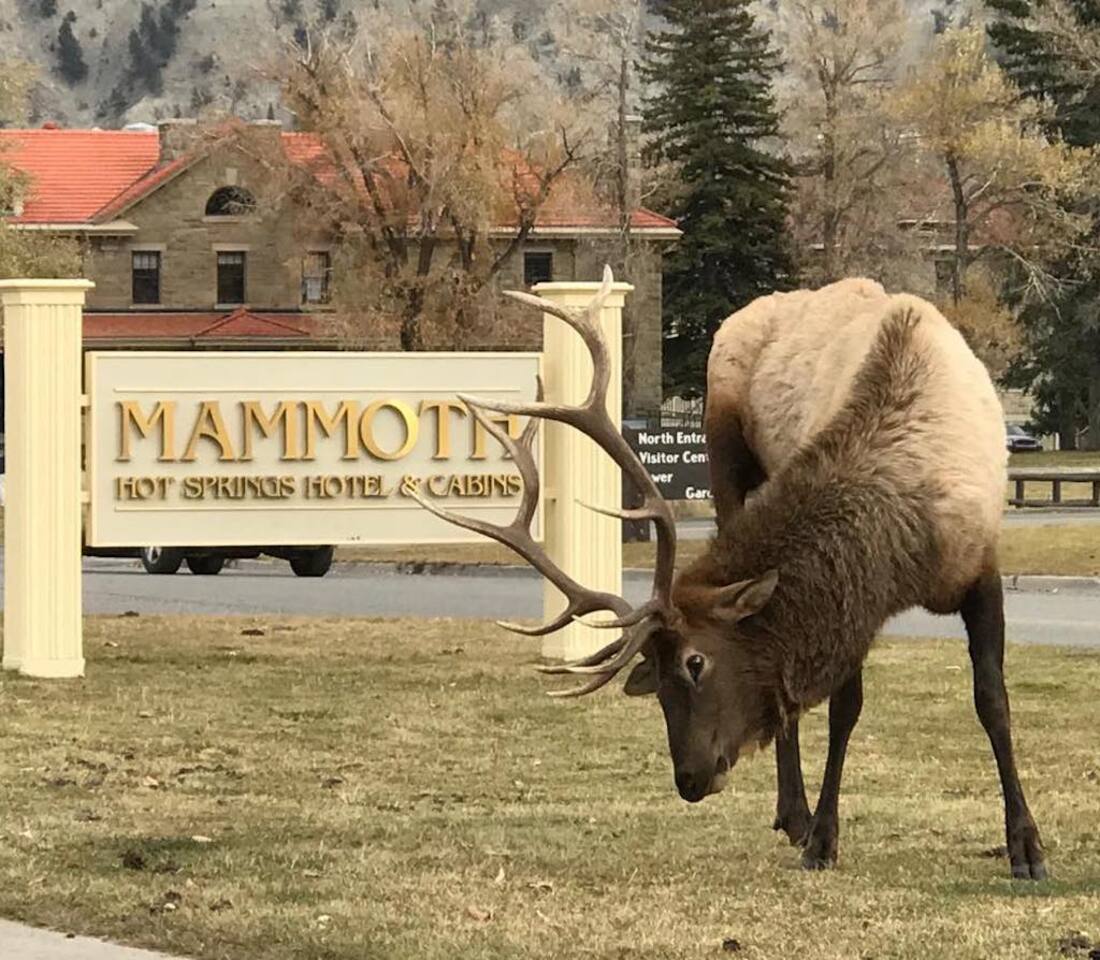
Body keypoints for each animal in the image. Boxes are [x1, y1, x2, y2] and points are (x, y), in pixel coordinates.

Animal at [415, 268, 1046, 880]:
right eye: (653, 674)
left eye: (695, 662)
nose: (688, 780)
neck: (904, 542)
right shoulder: (856, 600)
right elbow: (844, 709)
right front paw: (822, 837)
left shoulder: (978, 567)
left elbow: (992, 700)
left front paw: (1026, 845)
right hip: (723, 452)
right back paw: (794, 815)